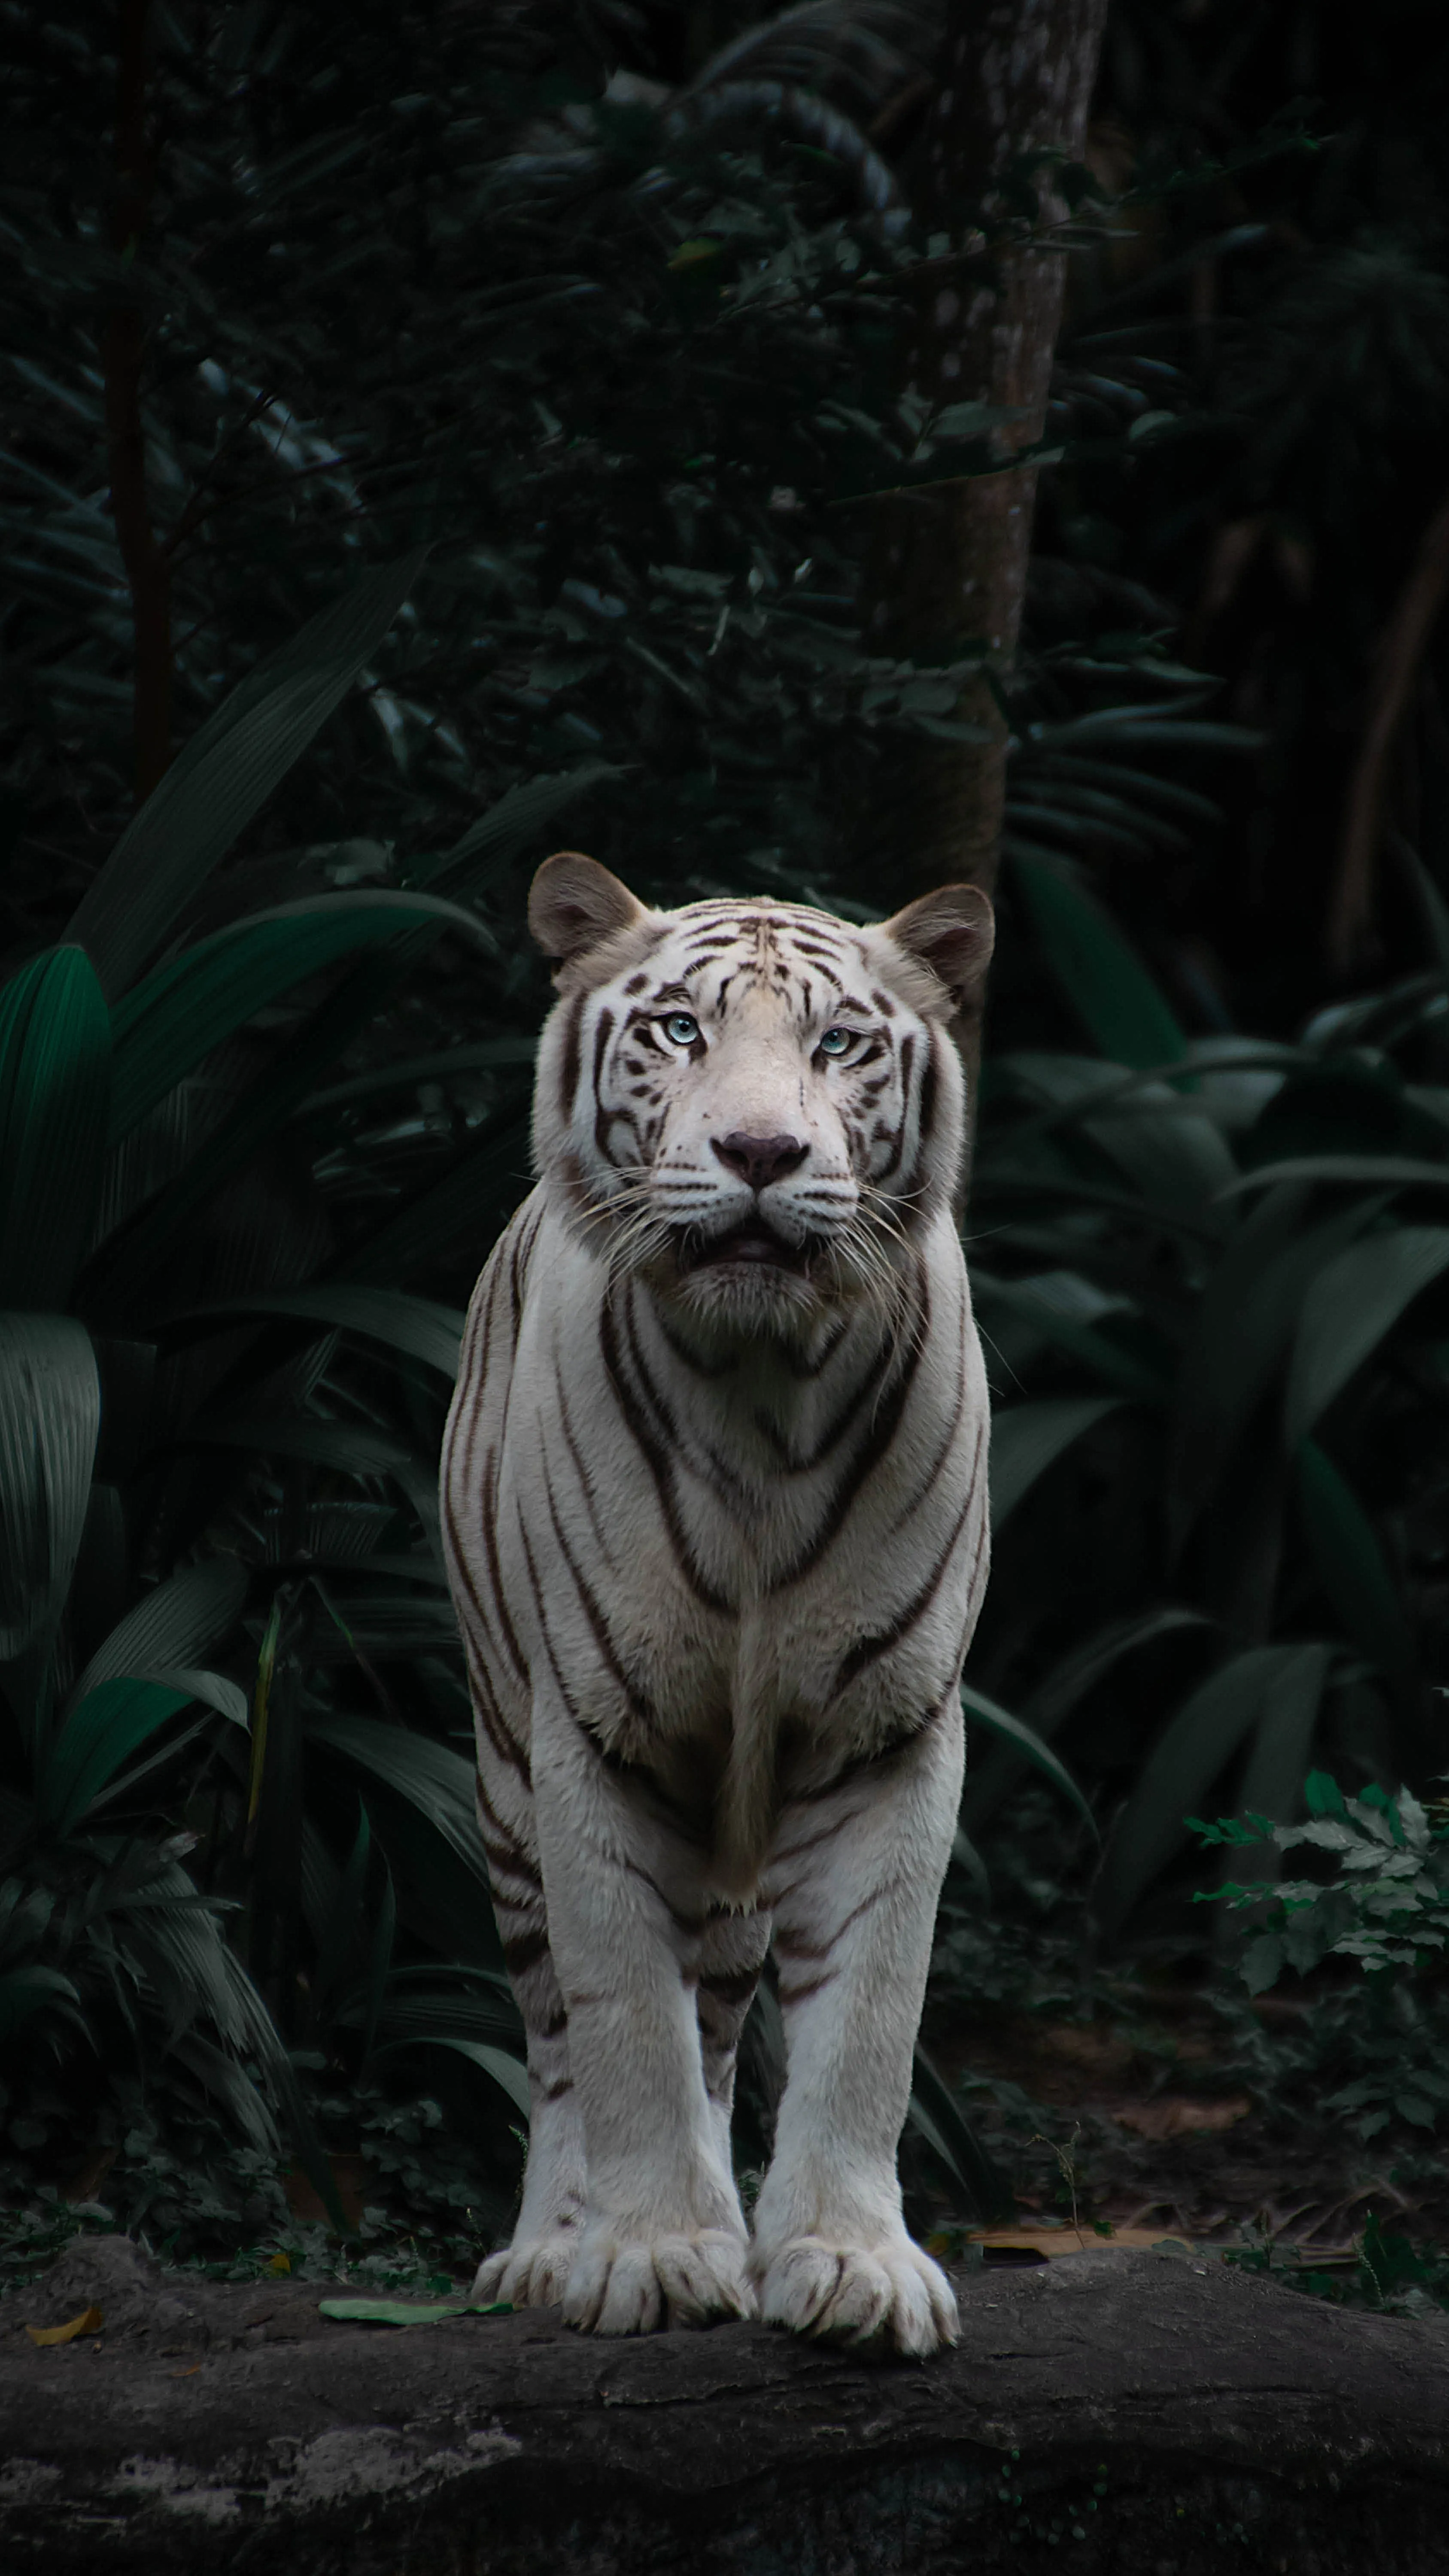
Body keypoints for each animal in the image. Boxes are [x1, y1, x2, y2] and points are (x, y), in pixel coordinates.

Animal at [433, 850, 985, 2360]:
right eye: (680, 1030)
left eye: (837, 1043)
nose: (758, 1154)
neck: (760, 1390)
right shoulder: (591, 1735)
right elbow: (624, 2020)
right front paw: (655, 2255)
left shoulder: (885, 1734)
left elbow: (869, 2021)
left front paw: (849, 2264)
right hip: (502, 1782)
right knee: (558, 2033)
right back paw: (550, 2250)